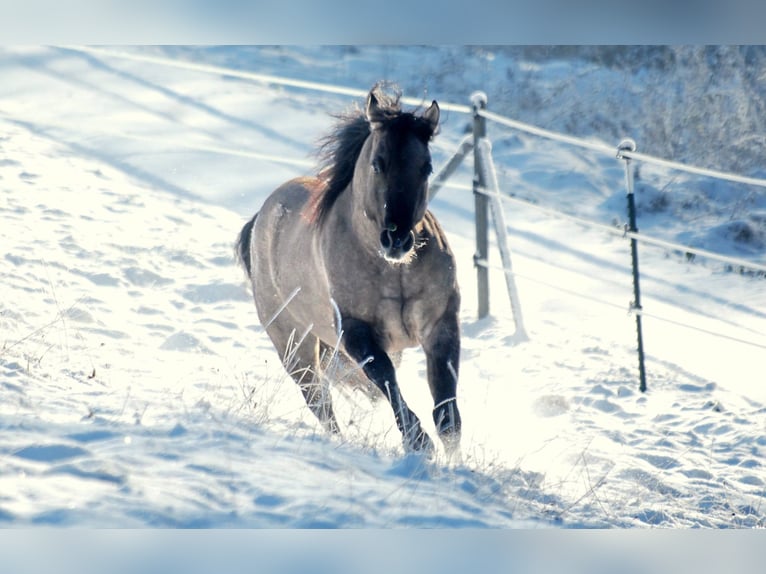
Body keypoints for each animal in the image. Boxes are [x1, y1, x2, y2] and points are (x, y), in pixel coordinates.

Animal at [236, 83, 461, 454]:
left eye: (427, 167)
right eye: (377, 164)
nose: (397, 239)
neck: (392, 271)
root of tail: (259, 220)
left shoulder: (440, 324)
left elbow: (447, 406)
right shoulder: (356, 332)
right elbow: (386, 379)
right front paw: (418, 443)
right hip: (296, 348)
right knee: (320, 403)